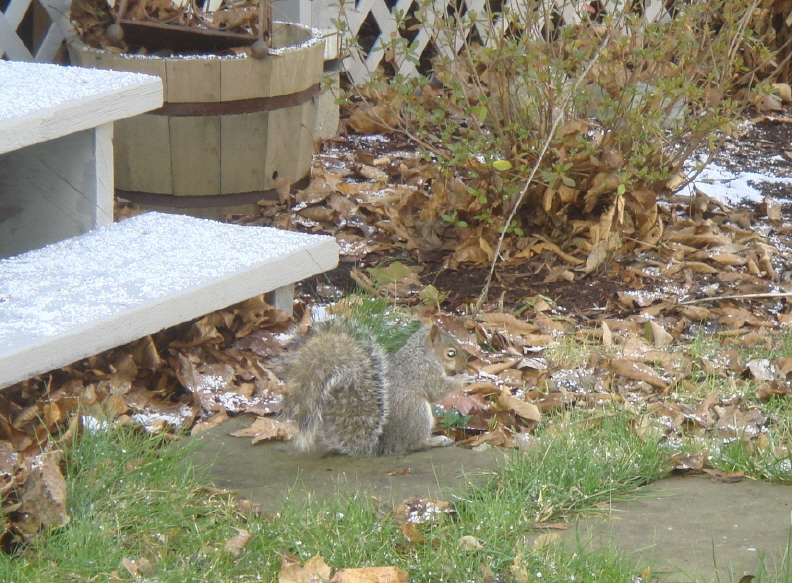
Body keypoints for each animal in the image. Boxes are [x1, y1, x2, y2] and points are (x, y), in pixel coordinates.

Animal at [276, 320, 468, 456]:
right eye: (451, 353)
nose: (466, 364)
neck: (423, 354)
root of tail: (384, 444)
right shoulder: (422, 372)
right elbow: (436, 389)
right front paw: (463, 379)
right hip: (416, 411)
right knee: (412, 443)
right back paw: (435, 441)